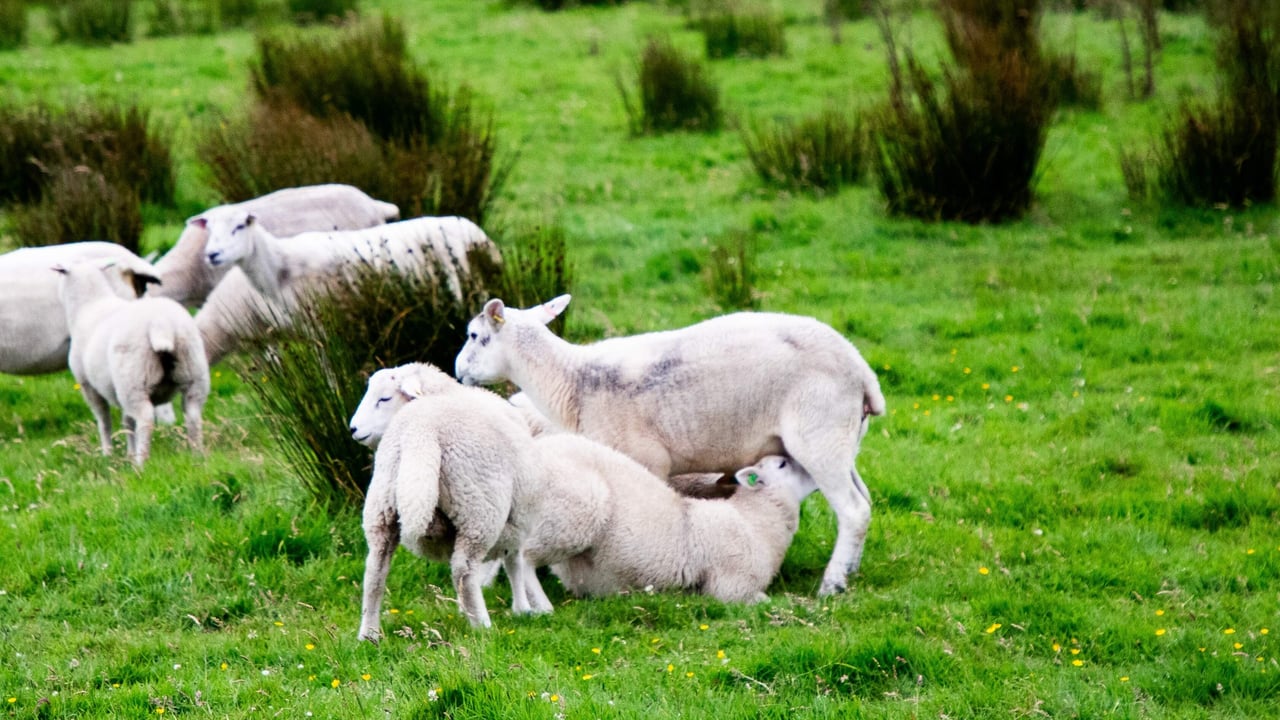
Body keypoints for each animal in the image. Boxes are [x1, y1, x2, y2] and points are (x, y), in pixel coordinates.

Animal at [56, 259, 210, 467]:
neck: (89, 305)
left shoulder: (88, 386)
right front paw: (129, 451)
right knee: (192, 413)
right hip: (193, 371)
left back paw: (140, 463)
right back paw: (197, 455)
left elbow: (104, 421)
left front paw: (108, 453)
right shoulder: (117, 391)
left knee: (145, 419)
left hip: (134, 380)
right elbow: (127, 422)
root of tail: (161, 323)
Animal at [454, 295, 885, 597]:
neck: (573, 382)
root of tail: (863, 372)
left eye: (474, 335)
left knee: (853, 509)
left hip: (819, 434)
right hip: (843, 439)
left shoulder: (645, 461)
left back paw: (832, 585)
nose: (457, 372)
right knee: (865, 501)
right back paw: (851, 569)